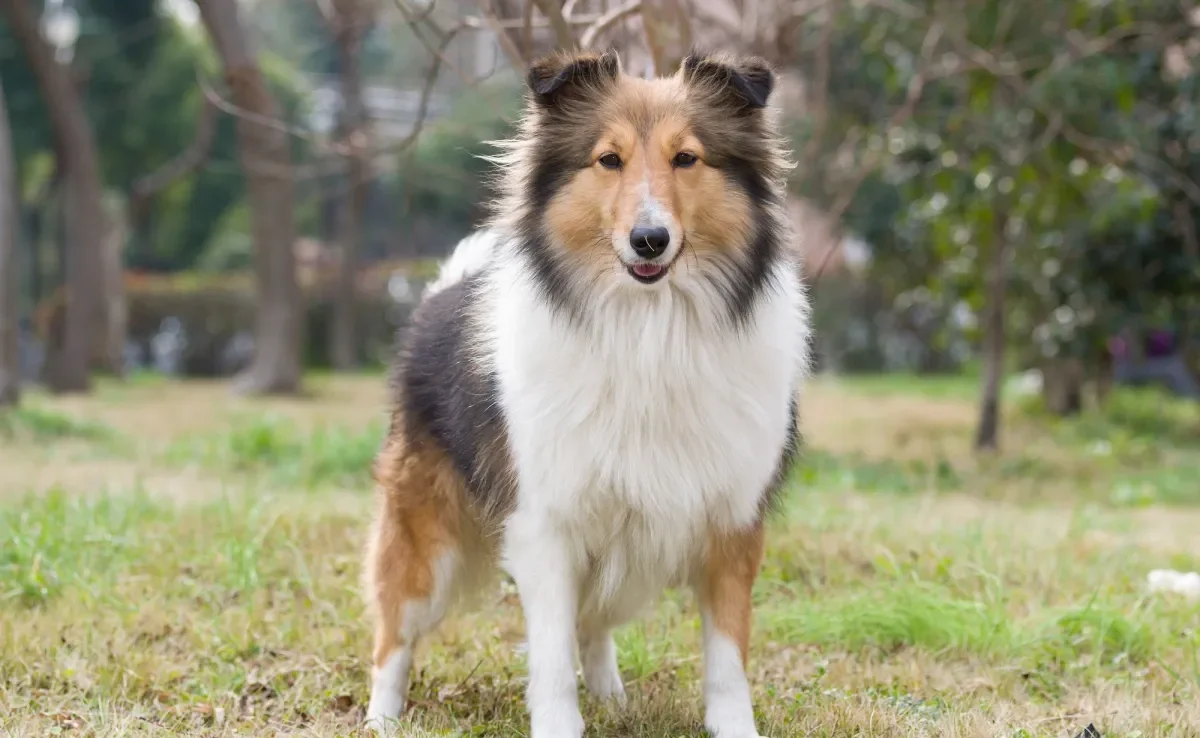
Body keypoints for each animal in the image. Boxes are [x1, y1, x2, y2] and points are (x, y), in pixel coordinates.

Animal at [364, 49, 811, 734]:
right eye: (609, 159)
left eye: (687, 158)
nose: (649, 240)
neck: (649, 330)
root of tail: (440, 291)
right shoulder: (546, 524)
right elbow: (550, 655)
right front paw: (558, 723)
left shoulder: (732, 524)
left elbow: (728, 656)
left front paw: (733, 727)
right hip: (426, 536)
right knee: (395, 630)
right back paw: (381, 718)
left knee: (596, 623)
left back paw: (611, 697)